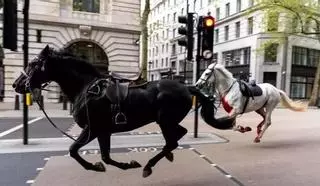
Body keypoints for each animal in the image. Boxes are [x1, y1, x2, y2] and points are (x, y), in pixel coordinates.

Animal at [12, 45, 235, 177]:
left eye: (33, 64)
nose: (16, 84)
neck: (85, 88)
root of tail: (187, 87)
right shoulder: (103, 131)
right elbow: (105, 156)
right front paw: (121, 164)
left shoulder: (92, 129)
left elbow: (74, 150)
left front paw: (96, 166)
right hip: (167, 121)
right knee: (178, 136)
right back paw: (166, 156)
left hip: (164, 120)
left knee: (173, 140)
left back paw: (149, 166)